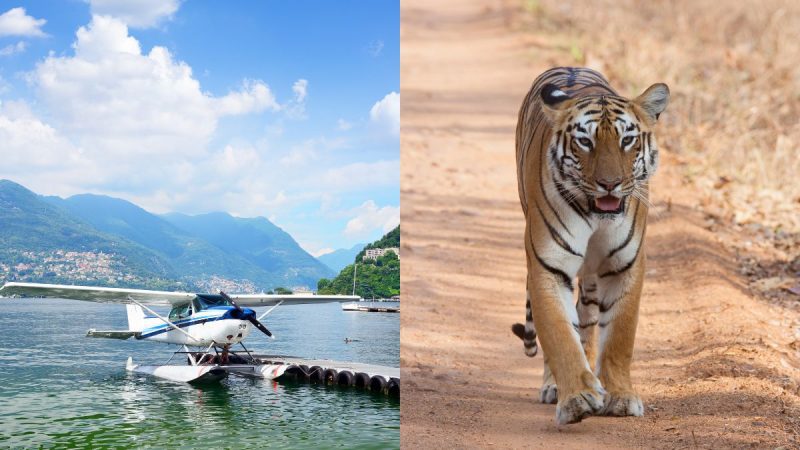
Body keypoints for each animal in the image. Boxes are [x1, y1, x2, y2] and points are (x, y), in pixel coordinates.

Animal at [512, 67, 668, 426]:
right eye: (585, 141)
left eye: (627, 140)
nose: (609, 184)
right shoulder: (548, 266)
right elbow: (559, 334)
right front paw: (576, 399)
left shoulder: (625, 266)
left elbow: (619, 337)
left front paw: (620, 397)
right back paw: (555, 386)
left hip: (593, 279)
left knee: (587, 320)